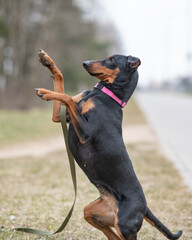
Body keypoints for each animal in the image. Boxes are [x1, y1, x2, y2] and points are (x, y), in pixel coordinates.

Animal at [35, 49, 182, 239]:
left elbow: (67, 98)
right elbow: (62, 85)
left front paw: (44, 92)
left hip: (124, 226)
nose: (85, 63)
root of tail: (144, 208)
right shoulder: (60, 117)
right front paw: (48, 62)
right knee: (110, 234)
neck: (104, 94)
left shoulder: (85, 133)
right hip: (92, 213)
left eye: (112, 60)